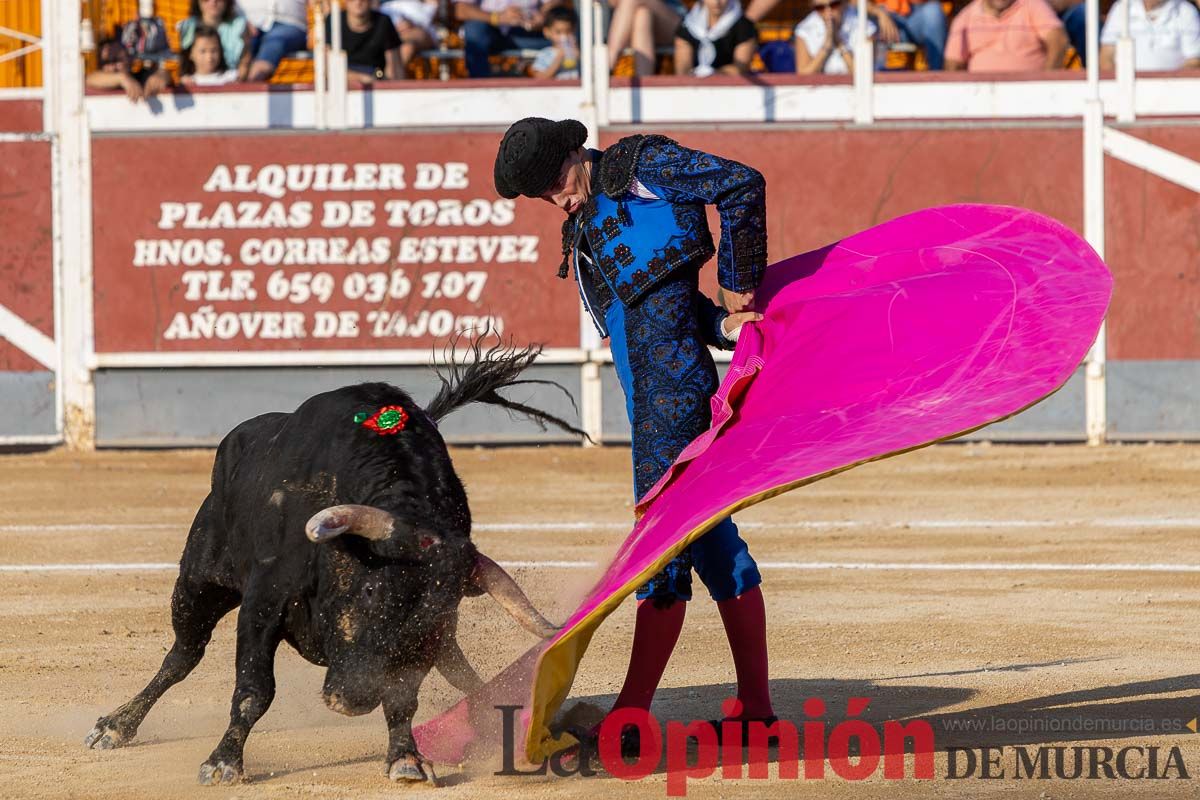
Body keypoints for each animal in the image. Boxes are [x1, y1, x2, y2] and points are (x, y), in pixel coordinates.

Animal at [84, 340, 580, 786]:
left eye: (438, 609)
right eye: (371, 590)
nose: (351, 700)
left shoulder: (429, 639)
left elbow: (402, 696)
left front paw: (406, 758)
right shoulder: (263, 603)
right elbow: (254, 691)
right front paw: (224, 763)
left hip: (444, 645)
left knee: (462, 672)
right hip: (198, 583)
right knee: (182, 655)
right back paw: (115, 726)